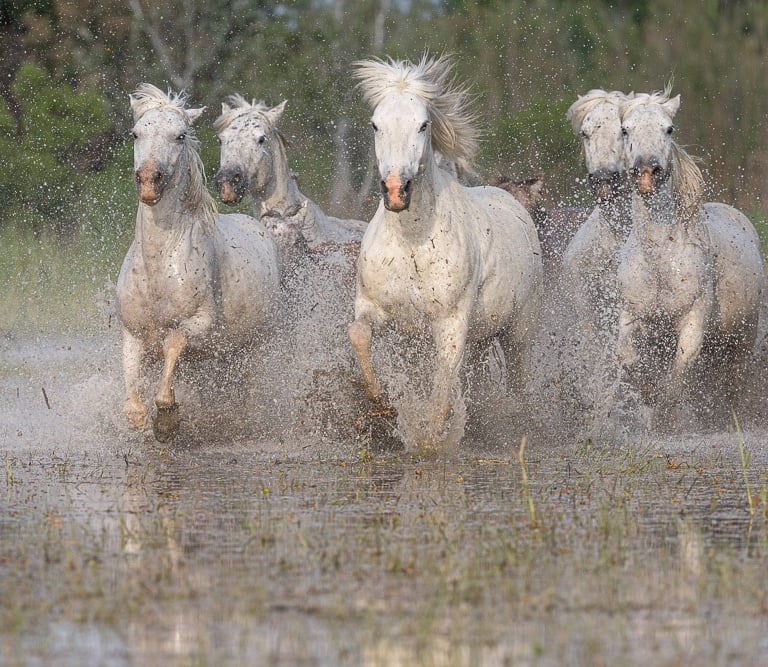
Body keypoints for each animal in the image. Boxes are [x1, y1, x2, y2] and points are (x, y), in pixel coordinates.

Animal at [116, 84, 281, 442]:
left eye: (180, 136)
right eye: (135, 133)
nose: (149, 181)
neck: (158, 264)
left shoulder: (201, 324)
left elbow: (174, 341)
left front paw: (167, 419)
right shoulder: (133, 334)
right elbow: (132, 402)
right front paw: (143, 421)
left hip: (256, 344)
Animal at [349, 54, 542, 453]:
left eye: (423, 125)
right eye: (375, 124)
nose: (396, 191)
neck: (412, 242)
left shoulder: (450, 322)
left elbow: (441, 389)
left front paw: (431, 442)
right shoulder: (374, 307)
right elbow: (358, 334)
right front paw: (381, 406)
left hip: (519, 330)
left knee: (517, 377)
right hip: (483, 335)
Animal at [615, 89, 764, 425]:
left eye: (668, 129)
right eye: (625, 130)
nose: (647, 171)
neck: (660, 259)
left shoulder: (694, 322)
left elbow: (677, 377)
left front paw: (666, 415)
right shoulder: (633, 315)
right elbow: (627, 357)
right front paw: (648, 393)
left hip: (742, 337)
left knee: (735, 381)